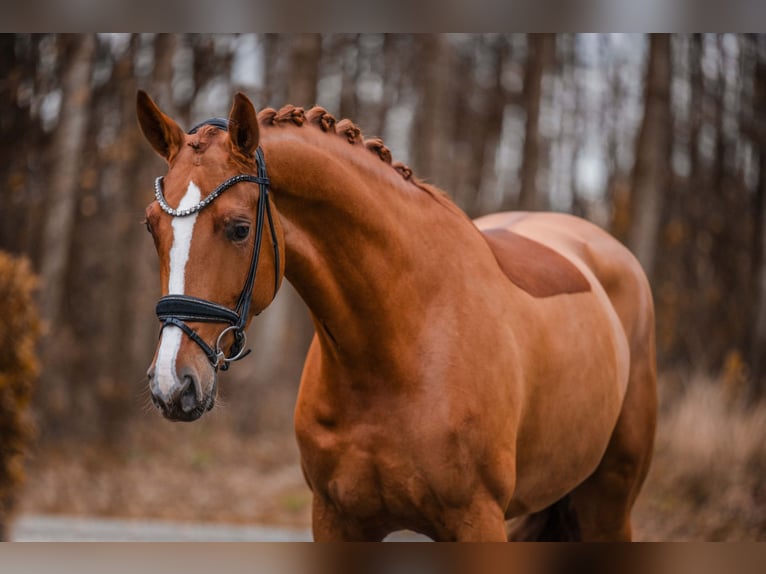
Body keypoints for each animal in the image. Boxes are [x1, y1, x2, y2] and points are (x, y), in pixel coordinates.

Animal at [135, 91, 656, 544]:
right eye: (151, 226)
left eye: (239, 229)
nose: (172, 384)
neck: (397, 347)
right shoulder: (336, 522)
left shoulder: (478, 521)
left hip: (610, 504)